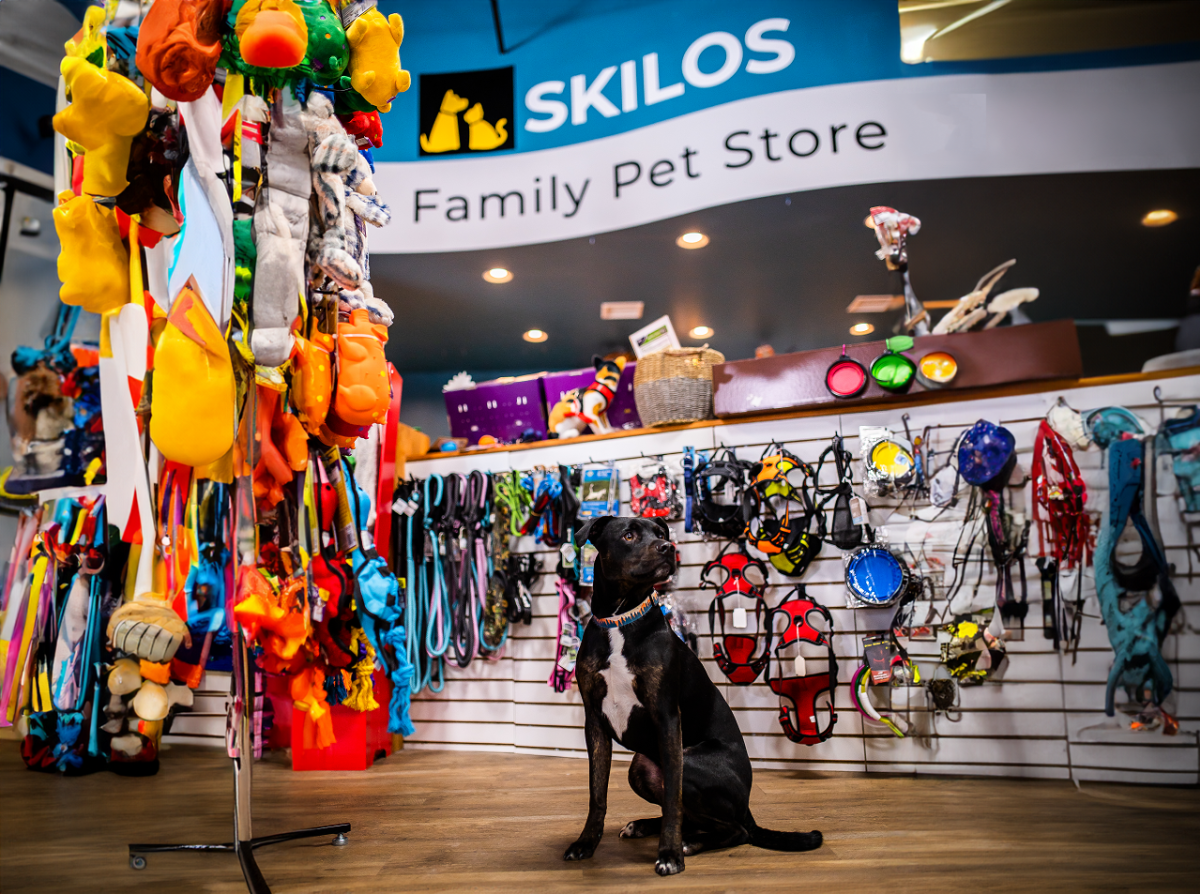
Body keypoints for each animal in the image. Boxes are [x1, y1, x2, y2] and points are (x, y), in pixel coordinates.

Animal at [564, 516, 825, 873]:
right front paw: (585, 843)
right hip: (640, 769)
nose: (668, 547)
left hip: (690, 762)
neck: (620, 620)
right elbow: (597, 794)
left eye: (660, 533)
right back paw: (646, 827)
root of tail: (747, 807)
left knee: (736, 830)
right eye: (628, 535)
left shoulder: (666, 718)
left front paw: (669, 855)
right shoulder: (595, 722)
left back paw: (689, 843)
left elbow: (673, 798)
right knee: (694, 816)